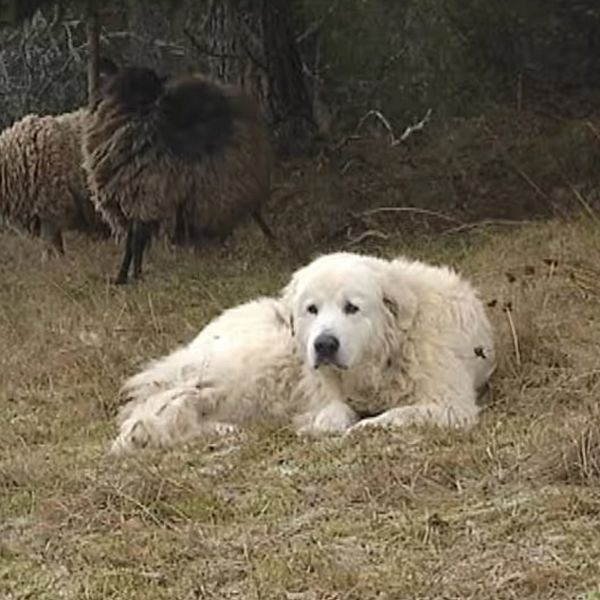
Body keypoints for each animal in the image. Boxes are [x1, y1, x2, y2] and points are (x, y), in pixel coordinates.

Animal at [81, 64, 274, 284]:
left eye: (151, 84)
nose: (161, 99)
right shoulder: (132, 203)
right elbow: (135, 242)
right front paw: (129, 275)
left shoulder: (143, 199)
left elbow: (135, 243)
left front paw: (129, 276)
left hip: (236, 174)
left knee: (252, 210)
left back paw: (267, 241)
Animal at [110, 251, 494, 452]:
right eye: (312, 309)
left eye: (352, 308)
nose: (324, 344)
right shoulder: (321, 387)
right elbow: (336, 412)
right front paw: (321, 425)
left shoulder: (450, 405)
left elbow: (396, 415)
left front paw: (364, 427)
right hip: (261, 362)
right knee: (160, 402)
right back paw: (144, 432)